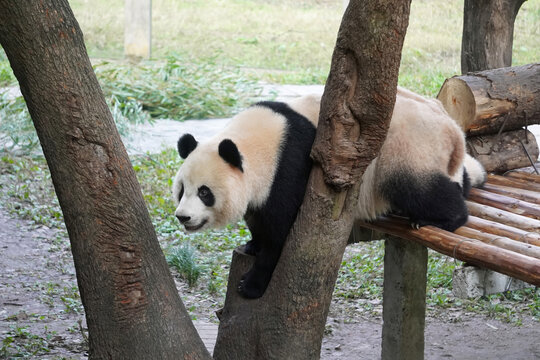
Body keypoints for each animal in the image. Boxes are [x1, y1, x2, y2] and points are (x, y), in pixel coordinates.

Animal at [172, 88, 486, 300]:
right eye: (181, 190)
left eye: (204, 192)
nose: (183, 217)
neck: (259, 142)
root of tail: (453, 129)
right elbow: (259, 218)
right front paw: (252, 245)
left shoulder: (290, 166)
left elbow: (281, 232)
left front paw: (250, 284)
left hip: (407, 149)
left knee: (419, 188)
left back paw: (439, 219)